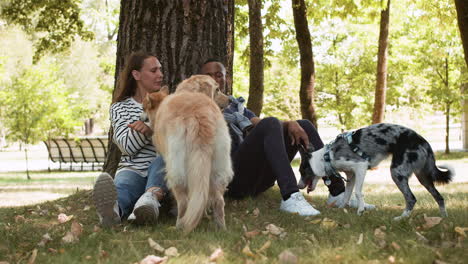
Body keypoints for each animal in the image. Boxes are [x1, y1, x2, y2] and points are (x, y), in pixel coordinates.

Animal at [141, 75, 232, 233]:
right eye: (218, 89)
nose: (231, 100)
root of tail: (199, 115)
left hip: (176, 171)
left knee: (184, 202)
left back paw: (179, 226)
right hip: (219, 167)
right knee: (218, 200)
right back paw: (221, 228)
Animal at [298, 122, 456, 220]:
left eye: (301, 172)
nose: (298, 186)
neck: (327, 157)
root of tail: (423, 141)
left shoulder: (360, 167)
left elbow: (358, 192)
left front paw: (360, 210)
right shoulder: (351, 175)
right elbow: (347, 195)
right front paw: (342, 209)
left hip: (397, 173)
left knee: (411, 198)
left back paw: (401, 218)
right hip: (423, 178)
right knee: (439, 197)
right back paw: (444, 218)